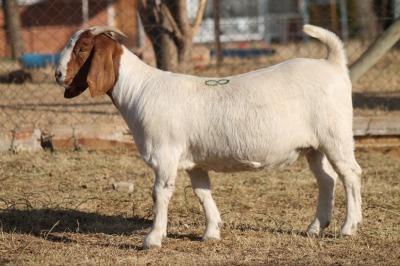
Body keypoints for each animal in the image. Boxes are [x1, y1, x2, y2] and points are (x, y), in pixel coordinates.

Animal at [55, 25, 362, 249]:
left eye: (82, 48)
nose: (57, 74)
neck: (140, 89)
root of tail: (332, 63)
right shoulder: (195, 161)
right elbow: (202, 193)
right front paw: (211, 232)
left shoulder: (165, 154)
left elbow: (160, 193)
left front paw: (152, 238)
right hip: (314, 146)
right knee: (327, 179)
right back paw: (315, 227)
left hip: (336, 136)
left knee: (350, 174)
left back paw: (349, 227)